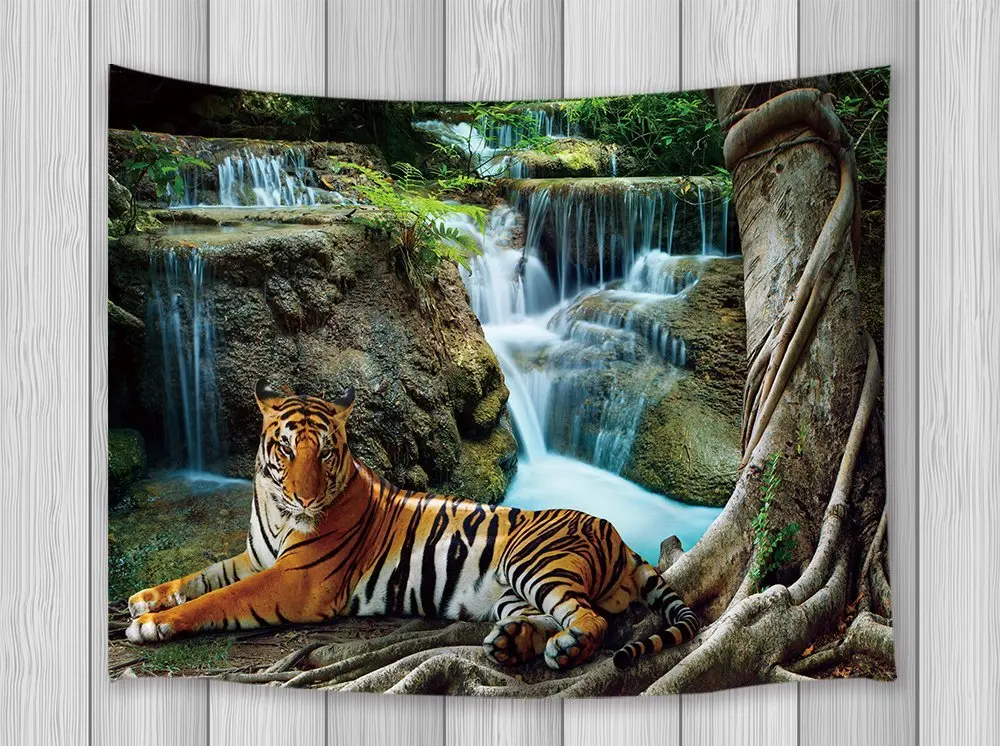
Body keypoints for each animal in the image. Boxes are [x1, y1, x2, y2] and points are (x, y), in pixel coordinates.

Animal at [125, 379, 699, 671]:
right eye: (286, 449)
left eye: (325, 452)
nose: (304, 496)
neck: (274, 507)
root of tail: (619, 536)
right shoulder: (257, 556)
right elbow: (204, 576)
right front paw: (145, 598)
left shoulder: (295, 580)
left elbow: (219, 598)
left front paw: (152, 624)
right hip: (511, 592)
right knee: (553, 618)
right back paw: (513, 644)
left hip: (534, 563)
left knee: (592, 622)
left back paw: (562, 650)